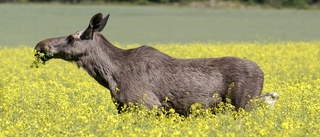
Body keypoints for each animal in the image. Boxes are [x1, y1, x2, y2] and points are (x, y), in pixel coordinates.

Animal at [33, 12, 276, 115]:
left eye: (70, 38)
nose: (40, 45)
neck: (110, 76)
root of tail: (263, 73)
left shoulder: (146, 105)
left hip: (244, 104)